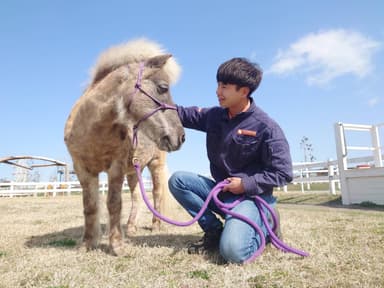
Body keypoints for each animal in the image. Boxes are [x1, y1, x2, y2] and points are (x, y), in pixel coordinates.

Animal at [64, 38, 184, 254]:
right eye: (163, 87)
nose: (180, 136)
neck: (91, 130)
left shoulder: (116, 167)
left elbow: (114, 203)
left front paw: (117, 245)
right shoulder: (82, 170)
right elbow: (90, 207)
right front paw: (87, 244)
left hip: (155, 165)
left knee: (156, 193)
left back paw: (156, 225)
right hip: (134, 171)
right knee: (137, 197)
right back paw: (131, 227)